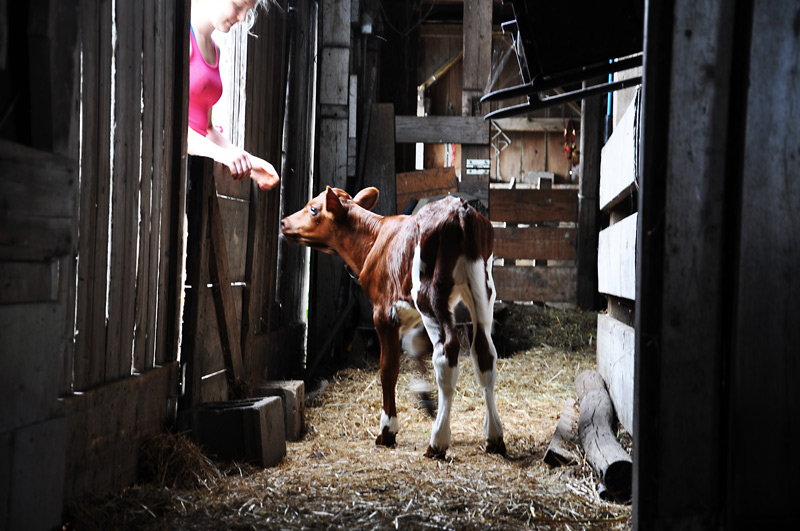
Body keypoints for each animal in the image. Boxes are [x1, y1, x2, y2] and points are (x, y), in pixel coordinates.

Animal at [281, 186, 505, 458]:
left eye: (313, 209)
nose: (284, 222)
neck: (374, 238)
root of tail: (459, 208)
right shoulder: (409, 311)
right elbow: (415, 347)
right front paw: (423, 396)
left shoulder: (383, 314)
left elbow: (388, 369)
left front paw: (387, 430)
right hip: (481, 290)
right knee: (484, 353)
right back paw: (494, 436)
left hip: (429, 295)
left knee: (446, 353)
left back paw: (437, 442)